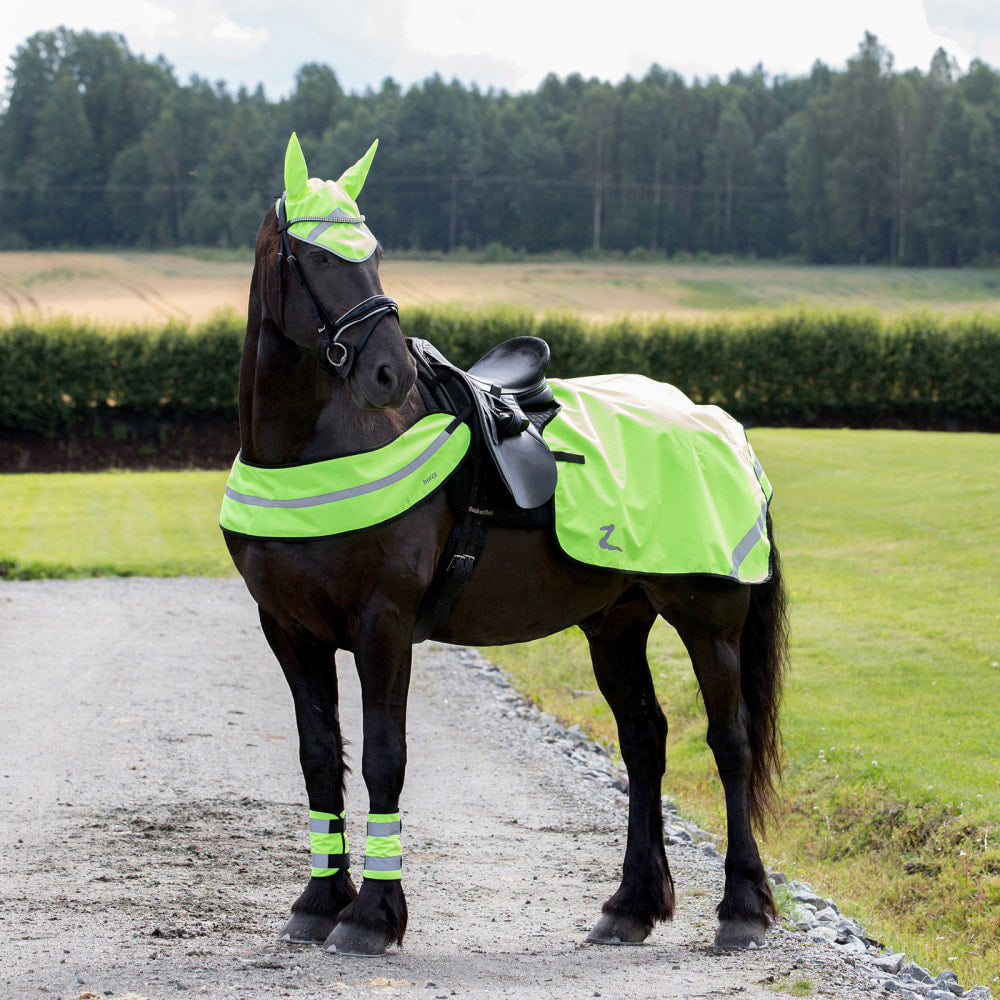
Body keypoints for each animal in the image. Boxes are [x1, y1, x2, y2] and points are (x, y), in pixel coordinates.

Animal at [222, 134, 789, 957]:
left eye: (375, 252)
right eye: (316, 256)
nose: (388, 374)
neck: (319, 448)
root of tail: (722, 427)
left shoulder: (383, 625)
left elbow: (383, 758)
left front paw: (371, 917)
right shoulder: (290, 630)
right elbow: (320, 760)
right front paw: (319, 901)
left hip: (707, 621)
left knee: (729, 742)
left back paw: (741, 908)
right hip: (616, 623)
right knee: (645, 740)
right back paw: (631, 905)